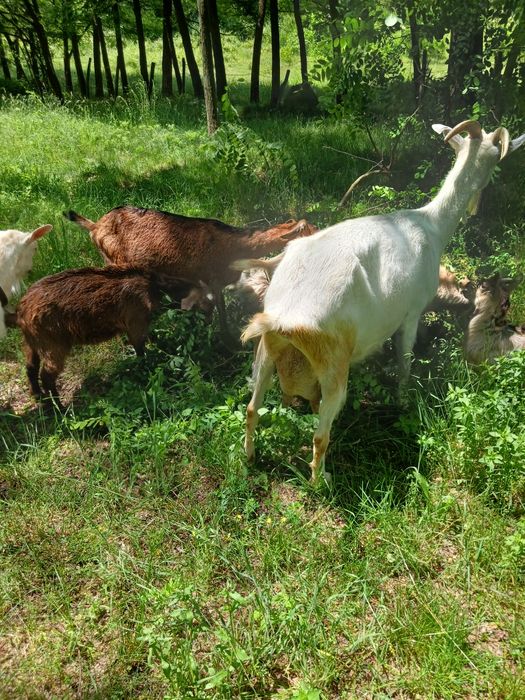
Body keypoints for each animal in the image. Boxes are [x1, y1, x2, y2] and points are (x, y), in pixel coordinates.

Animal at [9, 266, 201, 408]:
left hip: (33, 342)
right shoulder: (136, 321)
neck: (152, 285)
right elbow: (140, 349)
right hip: (53, 344)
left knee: (30, 367)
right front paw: (145, 370)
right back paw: (59, 409)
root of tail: (20, 311)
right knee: (47, 375)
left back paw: (38, 397)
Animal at [64, 207, 317, 338]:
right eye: (311, 232)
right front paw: (226, 340)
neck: (233, 245)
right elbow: (219, 311)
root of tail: (95, 226)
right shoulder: (211, 279)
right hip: (115, 263)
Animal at [241, 119, 525, 482]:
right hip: (333, 363)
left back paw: (250, 457)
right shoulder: (413, 311)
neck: (430, 225)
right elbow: (405, 359)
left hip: (265, 352)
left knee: (252, 408)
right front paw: (403, 400)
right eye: (495, 154)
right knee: (320, 435)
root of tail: (284, 318)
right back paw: (321, 480)